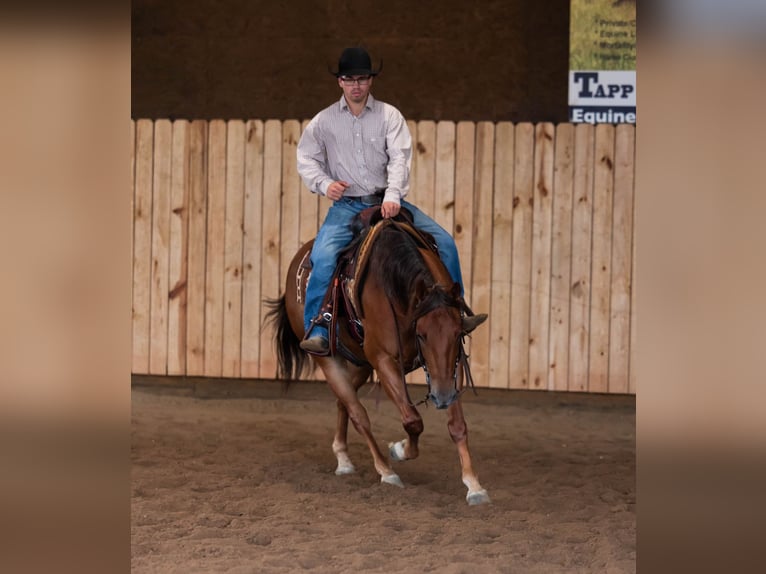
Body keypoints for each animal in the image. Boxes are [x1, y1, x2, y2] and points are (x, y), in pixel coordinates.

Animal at [266, 212, 492, 508]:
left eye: (457, 334)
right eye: (421, 334)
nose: (442, 398)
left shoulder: (450, 368)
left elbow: (457, 425)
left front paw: (473, 485)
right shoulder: (384, 360)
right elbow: (412, 420)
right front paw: (399, 449)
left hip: (360, 363)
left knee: (343, 402)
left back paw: (343, 458)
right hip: (329, 360)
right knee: (357, 413)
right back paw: (385, 470)